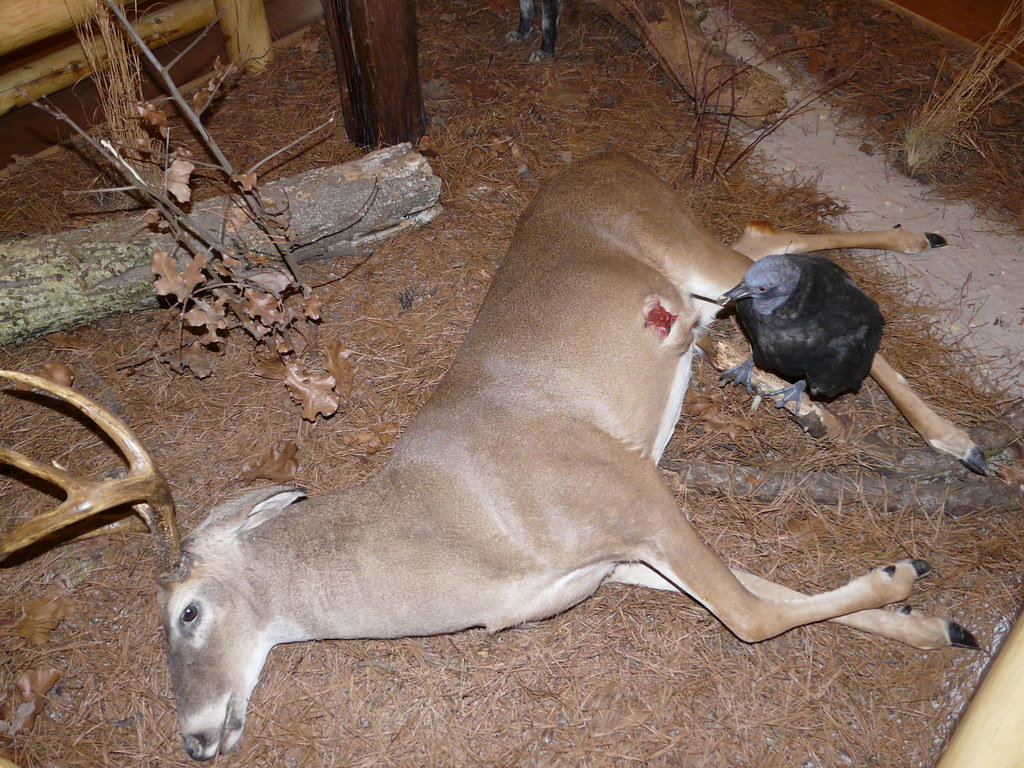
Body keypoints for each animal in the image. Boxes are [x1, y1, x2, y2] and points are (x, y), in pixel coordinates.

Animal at [0, 152, 982, 761]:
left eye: (187, 614)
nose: (197, 740)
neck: (463, 537)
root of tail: (608, 156)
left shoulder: (629, 486)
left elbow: (749, 617)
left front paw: (910, 586)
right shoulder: (618, 557)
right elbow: (768, 593)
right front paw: (923, 609)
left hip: (683, 244)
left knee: (765, 249)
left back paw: (952, 412)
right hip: (704, 276)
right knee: (761, 238)